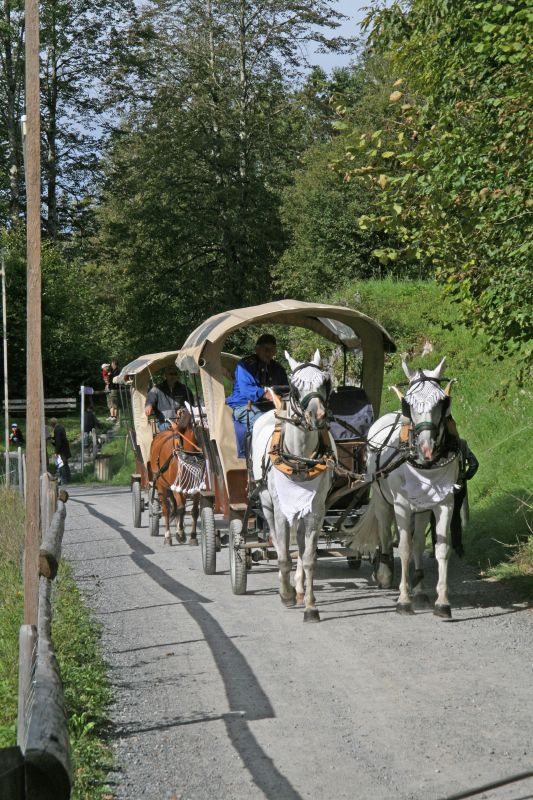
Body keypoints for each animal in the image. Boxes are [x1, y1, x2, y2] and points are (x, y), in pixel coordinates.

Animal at [148, 410, 206, 548]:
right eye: (200, 424)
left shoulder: (195, 489)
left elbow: (194, 511)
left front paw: (193, 537)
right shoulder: (176, 489)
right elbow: (180, 509)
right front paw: (180, 534)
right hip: (161, 486)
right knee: (166, 510)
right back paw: (168, 536)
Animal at [252, 352, 334, 624]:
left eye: (325, 381)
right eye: (295, 386)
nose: (317, 416)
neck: (299, 459)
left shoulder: (316, 510)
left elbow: (308, 558)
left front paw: (310, 606)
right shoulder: (279, 509)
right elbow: (284, 555)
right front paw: (285, 594)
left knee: (298, 541)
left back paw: (298, 588)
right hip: (267, 503)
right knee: (278, 543)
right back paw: (285, 586)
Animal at [344, 358, 458, 620]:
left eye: (442, 401)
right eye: (409, 404)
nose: (426, 447)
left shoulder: (444, 503)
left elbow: (440, 549)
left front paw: (442, 602)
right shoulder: (402, 505)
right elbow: (404, 549)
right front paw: (404, 601)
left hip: (422, 507)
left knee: (417, 542)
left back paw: (419, 588)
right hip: (383, 499)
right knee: (386, 532)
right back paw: (385, 572)